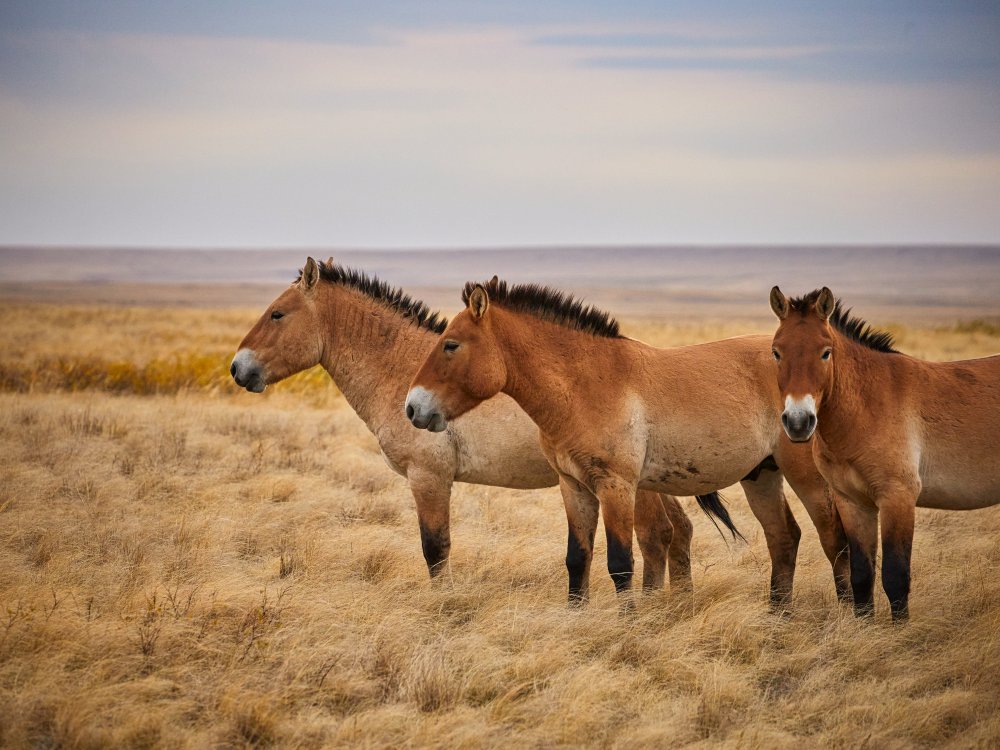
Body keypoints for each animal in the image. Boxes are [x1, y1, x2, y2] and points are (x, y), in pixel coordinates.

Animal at [230, 258, 716, 592]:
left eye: (277, 314)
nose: (238, 369)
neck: (401, 369)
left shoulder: (428, 478)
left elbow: (435, 549)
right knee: (679, 533)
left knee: (657, 536)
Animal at [406, 280, 852, 608]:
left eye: (450, 344)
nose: (413, 408)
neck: (583, 386)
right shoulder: (574, 487)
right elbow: (577, 558)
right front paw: (577, 617)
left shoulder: (616, 486)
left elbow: (620, 562)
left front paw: (628, 625)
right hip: (761, 475)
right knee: (784, 539)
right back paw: (778, 615)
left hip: (806, 477)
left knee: (834, 539)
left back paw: (847, 613)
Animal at [772, 288, 1000, 624]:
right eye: (776, 352)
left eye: (825, 352)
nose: (798, 422)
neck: (867, 405)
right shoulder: (853, 503)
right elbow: (861, 575)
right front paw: (866, 629)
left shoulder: (897, 498)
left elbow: (895, 576)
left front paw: (899, 632)